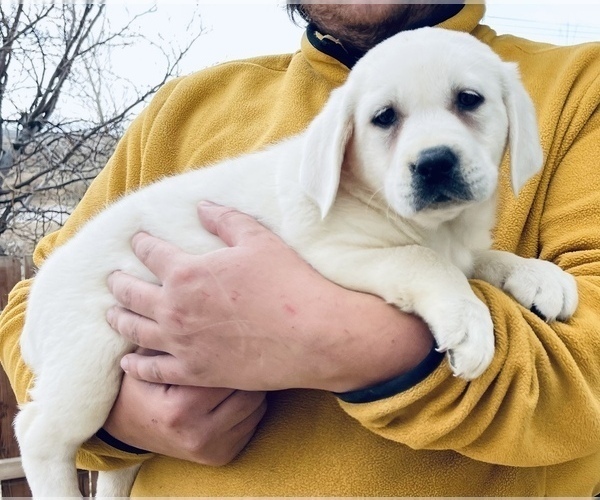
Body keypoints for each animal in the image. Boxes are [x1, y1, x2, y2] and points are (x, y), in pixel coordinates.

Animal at [15, 27, 576, 496]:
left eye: (469, 100)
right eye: (384, 118)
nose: (435, 162)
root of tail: (39, 289)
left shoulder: (458, 248)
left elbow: (483, 258)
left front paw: (538, 276)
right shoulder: (333, 253)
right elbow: (422, 261)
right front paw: (469, 324)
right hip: (88, 365)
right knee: (37, 433)